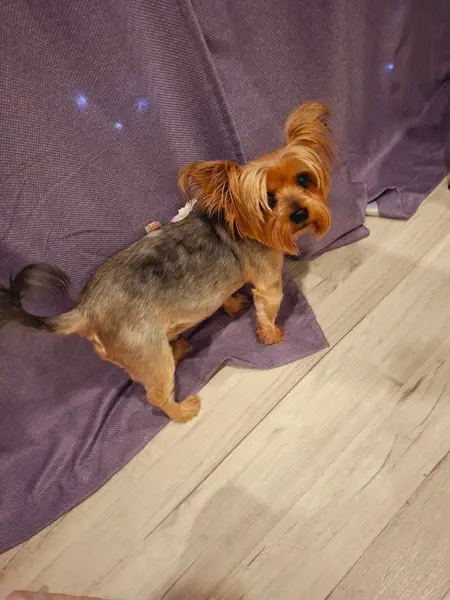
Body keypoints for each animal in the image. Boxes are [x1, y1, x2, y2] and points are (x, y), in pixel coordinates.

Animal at [0, 101, 332, 422]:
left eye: (304, 180)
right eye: (268, 200)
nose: (300, 213)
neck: (240, 224)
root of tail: (85, 310)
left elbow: (223, 296)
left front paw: (233, 305)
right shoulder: (268, 282)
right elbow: (268, 310)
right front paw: (272, 335)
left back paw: (181, 347)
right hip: (149, 353)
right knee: (155, 395)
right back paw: (182, 411)